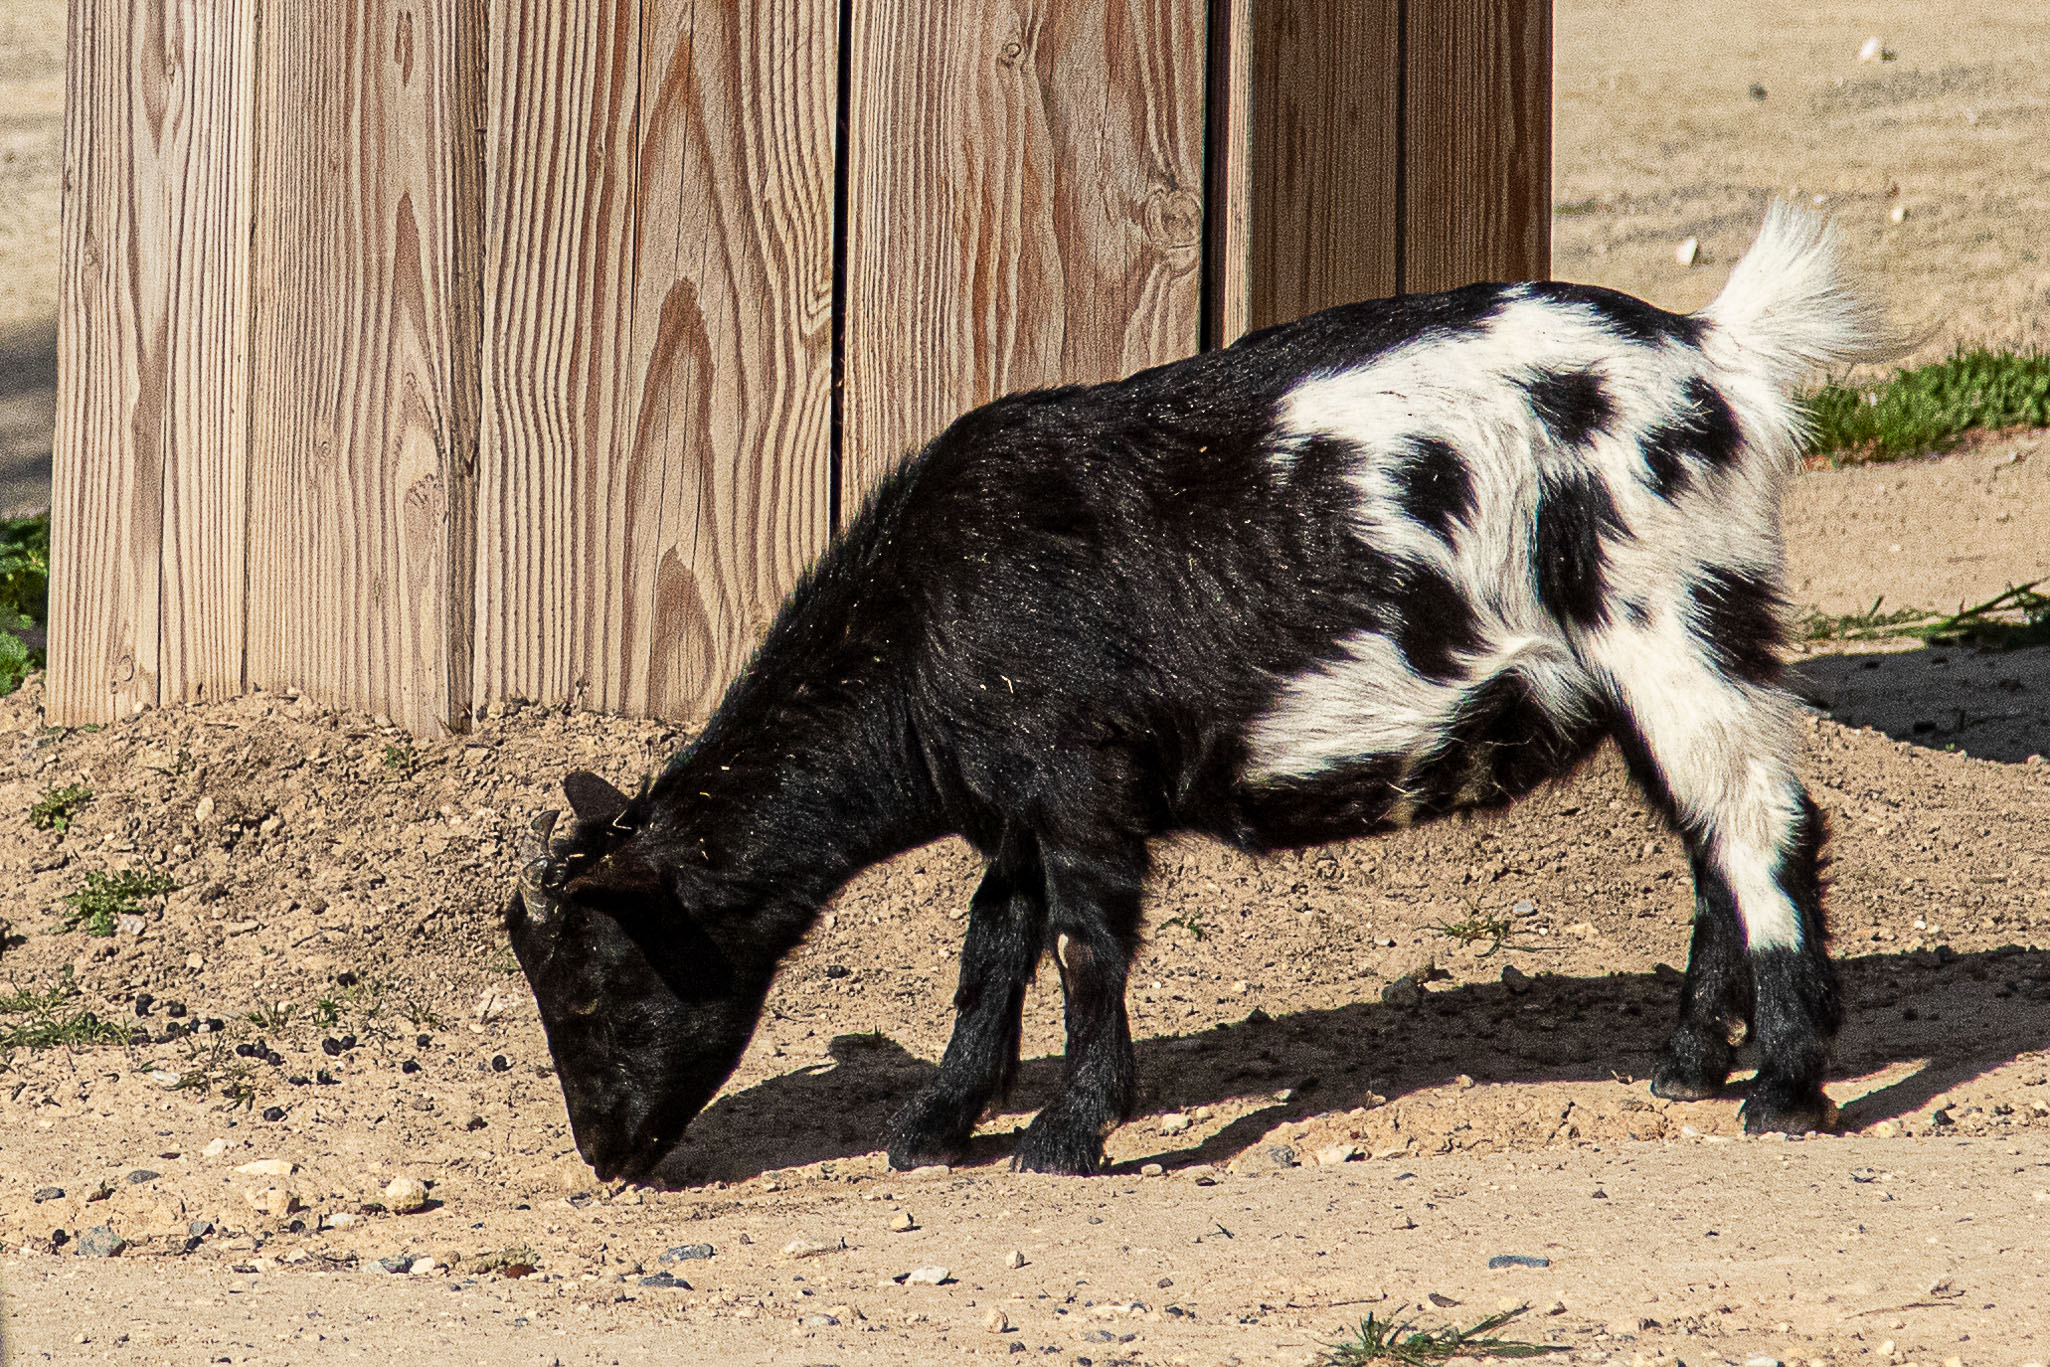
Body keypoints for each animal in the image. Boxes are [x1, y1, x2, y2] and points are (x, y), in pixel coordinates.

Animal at [506, 206, 1893, 1181]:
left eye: (590, 985)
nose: (605, 1154)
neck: (927, 614)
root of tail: (1718, 358)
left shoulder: (1081, 784)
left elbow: (1084, 951)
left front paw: (1064, 1136)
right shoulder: (1018, 804)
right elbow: (990, 948)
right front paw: (936, 1122)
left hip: (1678, 620)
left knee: (1765, 826)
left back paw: (1782, 1088)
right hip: (1643, 675)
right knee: (1709, 839)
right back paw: (1683, 1068)